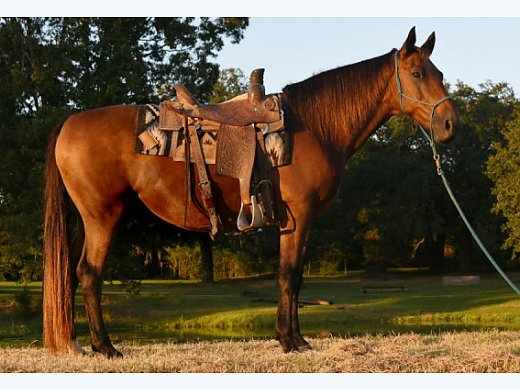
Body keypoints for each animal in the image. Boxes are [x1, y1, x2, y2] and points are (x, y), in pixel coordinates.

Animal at [43, 26, 460, 356]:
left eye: (439, 71)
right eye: (417, 73)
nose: (449, 124)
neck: (314, 128)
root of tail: (68, 123)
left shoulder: (299, 221)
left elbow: (296, 277)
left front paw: (294, 338)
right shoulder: (297, 216)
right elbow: (288, 275)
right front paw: (290, 341)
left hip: (88, 219)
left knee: (77, 275)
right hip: (103, 216)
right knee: (89, 273)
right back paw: (105, 347)